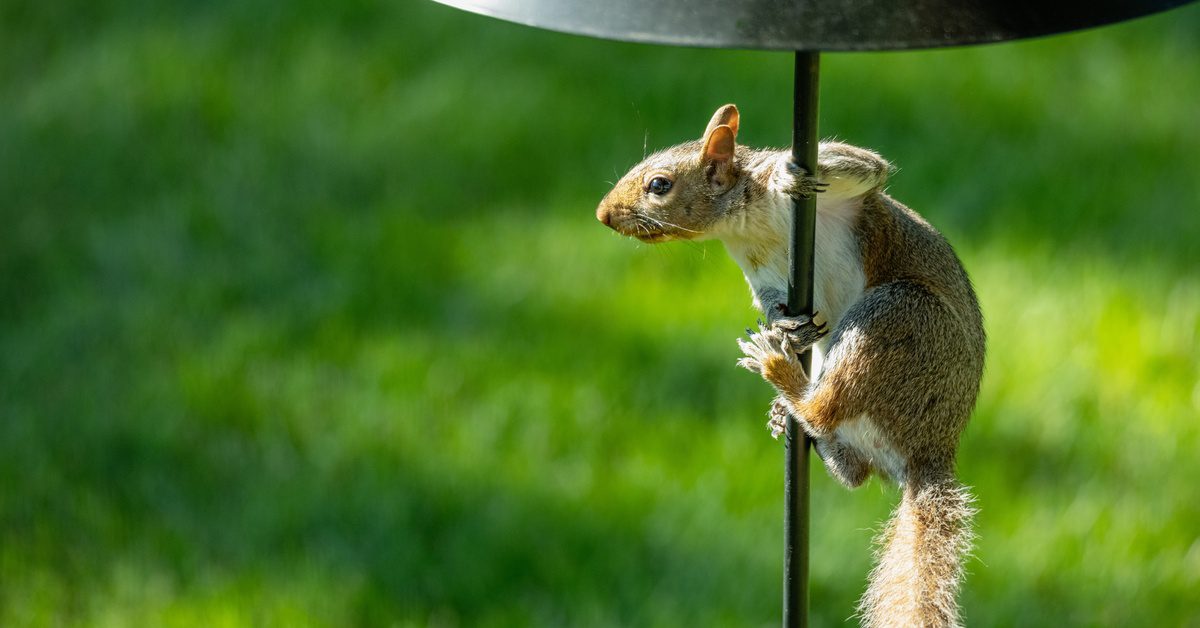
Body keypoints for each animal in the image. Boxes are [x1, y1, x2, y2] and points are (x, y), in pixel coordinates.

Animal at [596, 104, 985, 628]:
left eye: (659, 184)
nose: (603, 214)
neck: (746, 225)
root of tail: (931, 450)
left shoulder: (846, 195)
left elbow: (866, 166)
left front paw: (787, 175)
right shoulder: (761, 272)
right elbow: (772, 301)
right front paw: (784, 324)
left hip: (898, 317)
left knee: (828, 407)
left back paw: (781, 374)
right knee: (853, 466)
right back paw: (795, 416)